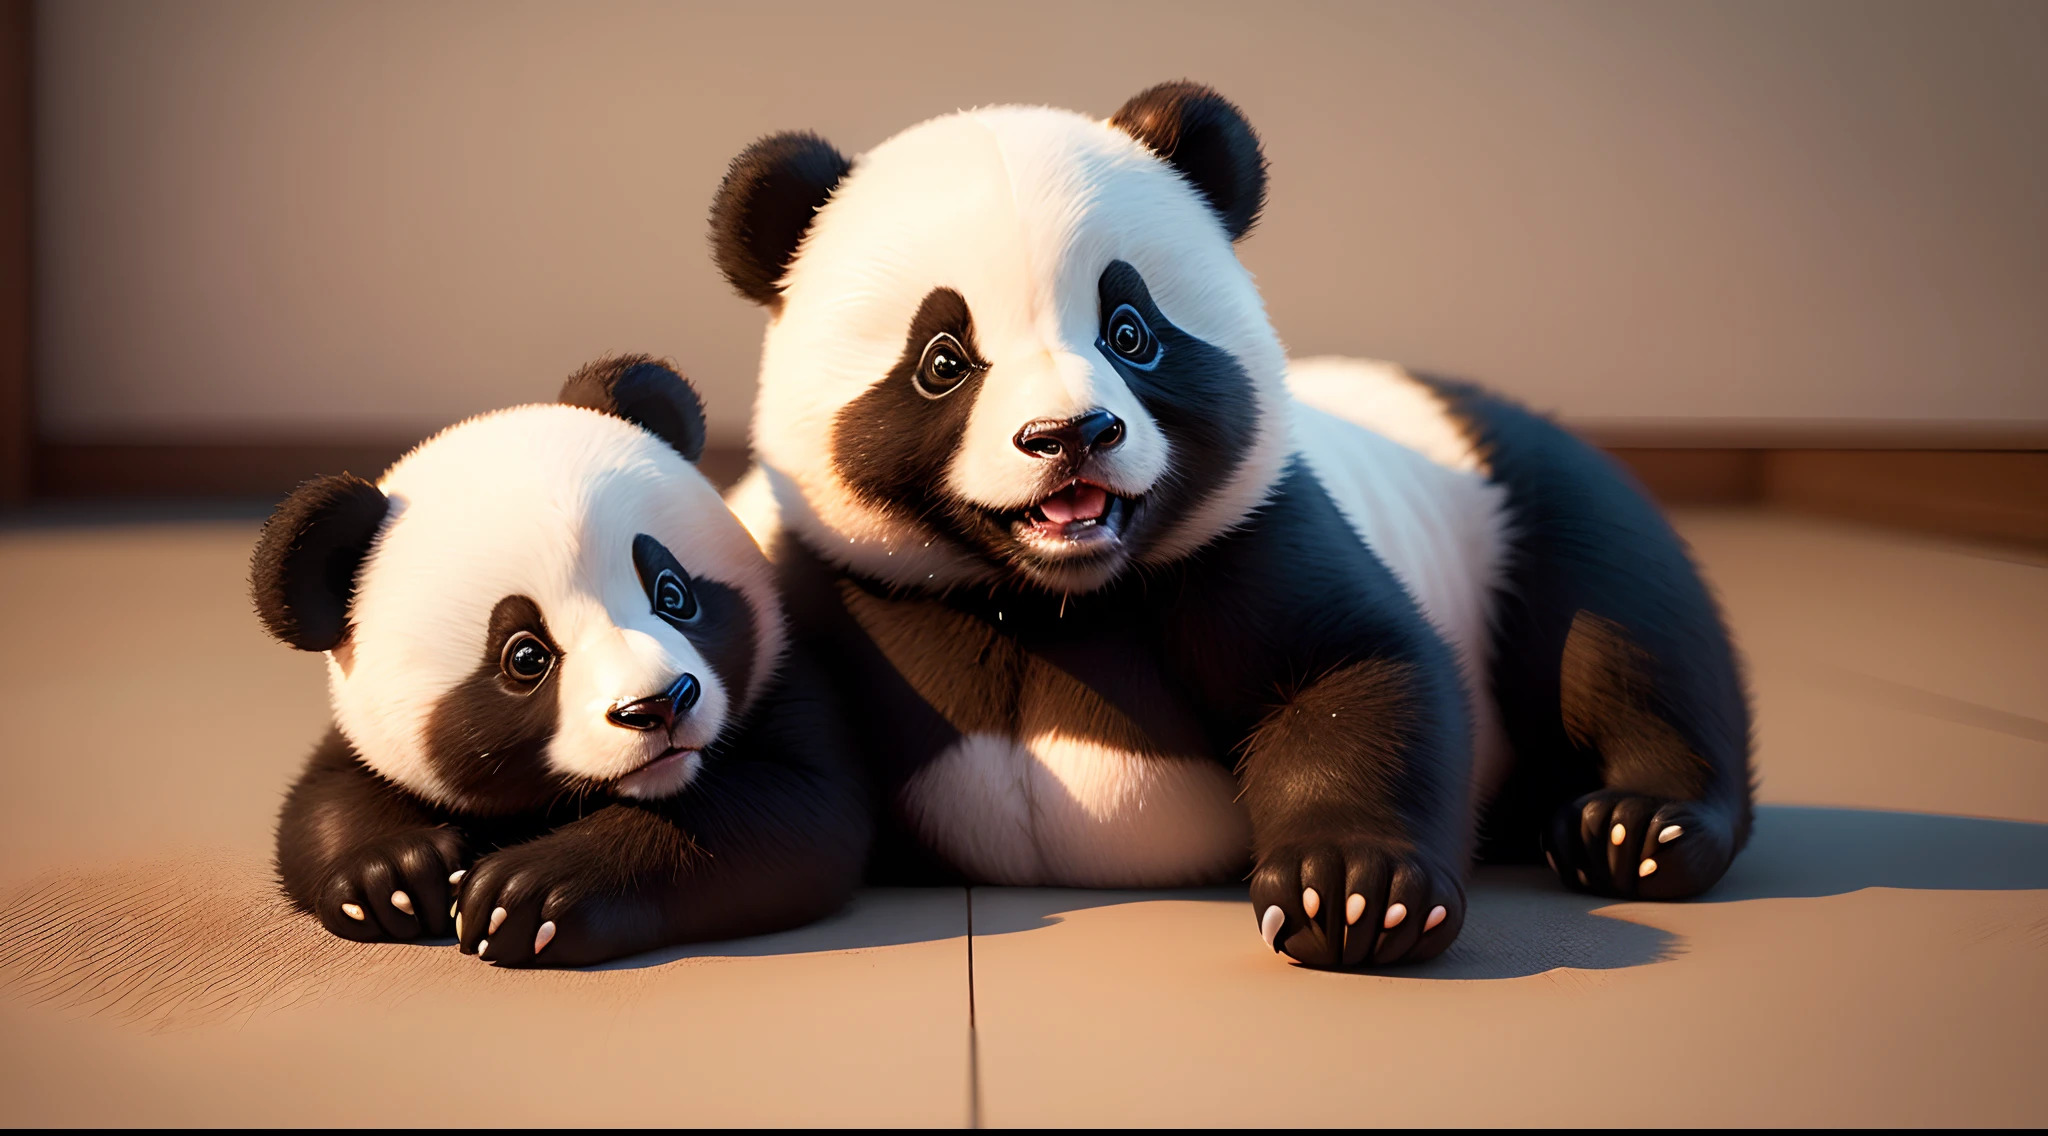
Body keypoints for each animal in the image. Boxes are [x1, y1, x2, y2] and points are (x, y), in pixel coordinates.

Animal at [251, 356, 868, 970]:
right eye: (526, 656)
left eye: (674, 594)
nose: (658, 706)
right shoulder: (366, 733)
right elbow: (326, 796)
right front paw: (394, 877)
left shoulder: (787, 681)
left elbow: (795, 815)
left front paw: (527, 896)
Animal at [712, 82, 1753, 970]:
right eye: (942, 360)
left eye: (1130, 331)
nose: (1071, 435)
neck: (1041, 596)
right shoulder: (811, 577)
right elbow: (780, 793)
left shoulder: (1247, 532)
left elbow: (1351, 668)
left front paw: (1353, 892)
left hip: (1530, 503)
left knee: (1622, 636)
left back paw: (1633, 829)